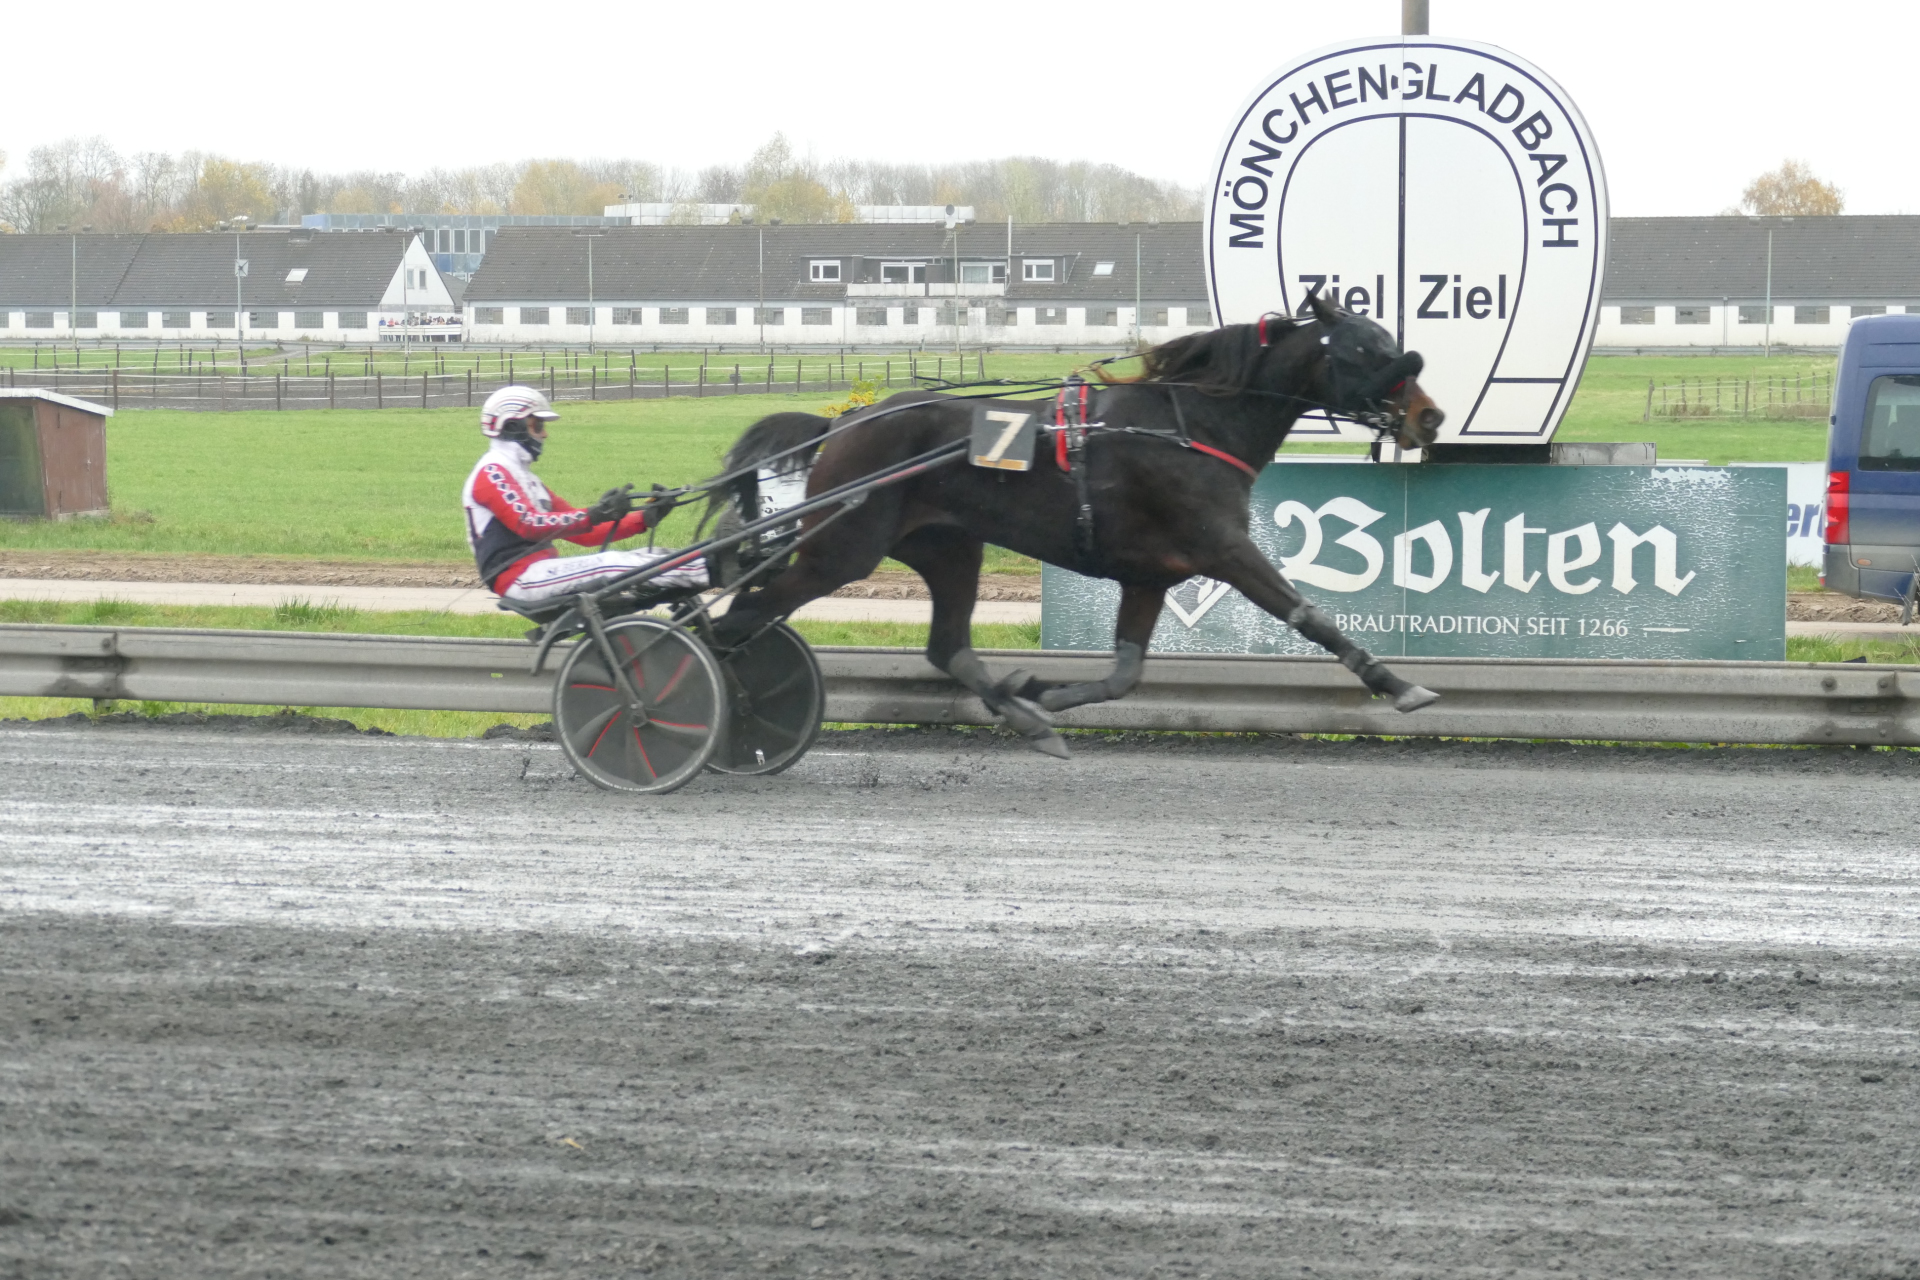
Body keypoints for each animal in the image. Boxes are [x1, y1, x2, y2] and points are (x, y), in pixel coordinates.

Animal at [710, 293, 1444, 758]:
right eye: (1361, 348)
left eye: (1390, 341)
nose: (1429, 416)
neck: (1192, 429)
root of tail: (844, 423)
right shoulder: (1223, 548)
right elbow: (1308, 615)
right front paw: (1401, 686)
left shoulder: (1150, 576)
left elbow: (1124, 675)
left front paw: (1041, 690)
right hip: (842, 550)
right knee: (738, 617)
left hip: (950, 547)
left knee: (947, 646)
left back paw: (1030, 722)